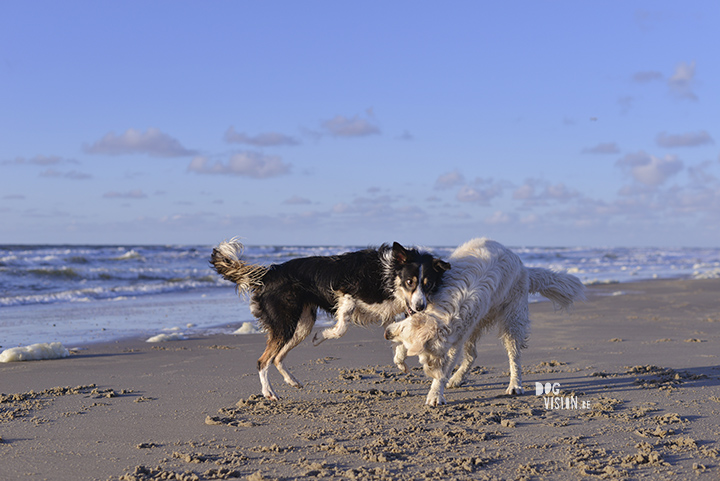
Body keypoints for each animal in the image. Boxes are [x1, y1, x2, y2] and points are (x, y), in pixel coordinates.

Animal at [210, 238, 450, 400]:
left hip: (301, 325)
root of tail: (268, 274)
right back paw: (268, 392)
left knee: (277, 357)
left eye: (428, 283)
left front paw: (400, 362)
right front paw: (321, 337)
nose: (421, 307)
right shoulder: (346, 293)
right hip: (285, 323)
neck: (388, 275)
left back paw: (292, 381)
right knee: (263, 361)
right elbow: (341, 327)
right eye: (410, 282)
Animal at [382, 237, 584, 404]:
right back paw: (457, 379)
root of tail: (523, 266)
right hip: (476, 325)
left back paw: (515, 385)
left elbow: (444, 368)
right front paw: (400, 357)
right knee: (472, 355)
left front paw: (435, 393)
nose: (385, 334)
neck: (445, 310)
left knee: (514, 356)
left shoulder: (454, 340)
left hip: (512, 319)